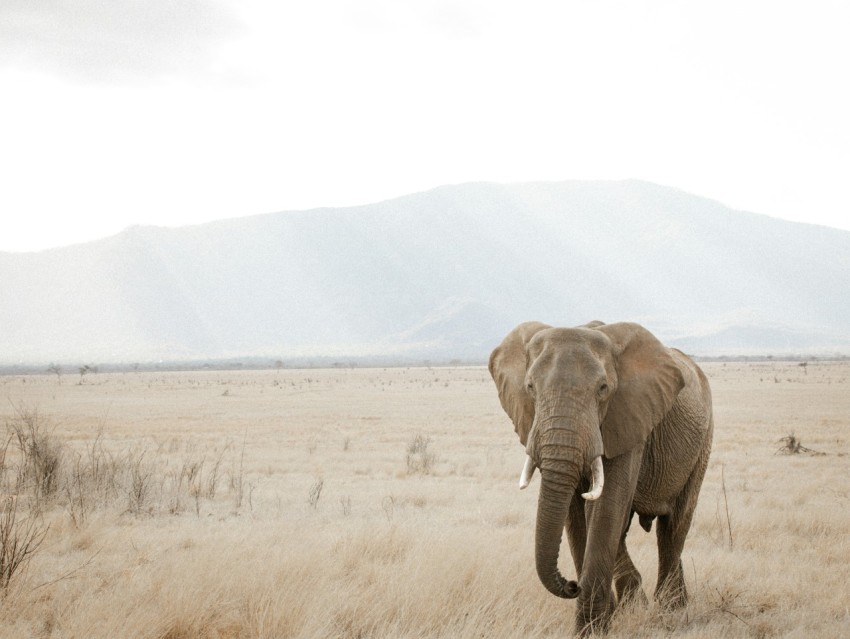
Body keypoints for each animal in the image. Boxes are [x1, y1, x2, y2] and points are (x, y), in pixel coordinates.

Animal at [489, 321, 713, 634]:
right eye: (530, 388)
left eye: (603, 389)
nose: (571, 585)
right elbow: (574, 514)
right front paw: (600, 622)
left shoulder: (628, 418)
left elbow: (605, 508)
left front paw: (592, 630)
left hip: (702, 444)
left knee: (673, 527)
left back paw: (670, 609)